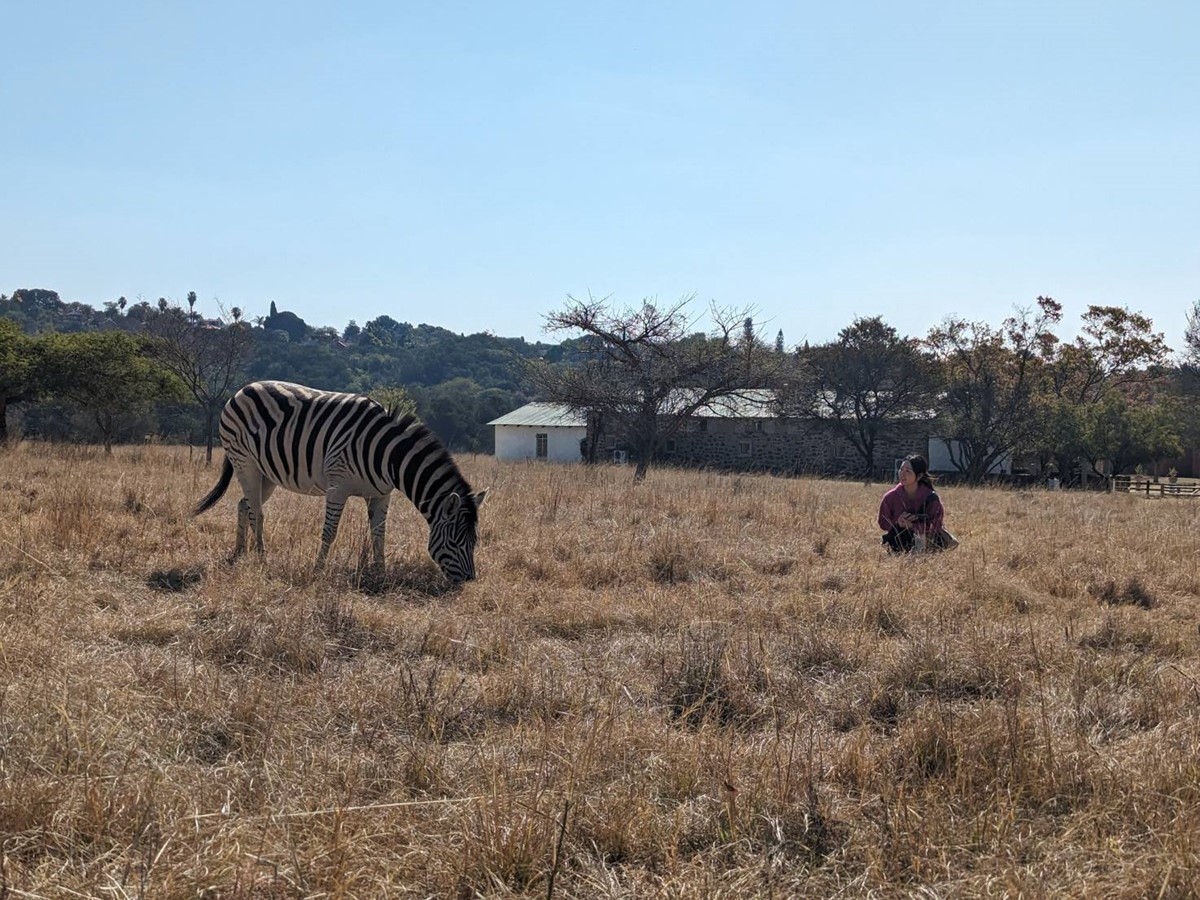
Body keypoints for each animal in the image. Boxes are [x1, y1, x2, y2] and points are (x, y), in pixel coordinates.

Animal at [194, 381, 484, 585]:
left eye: (474, 541)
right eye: (456, 542)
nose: (469, 582)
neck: (388, 456)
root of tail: (243, 389)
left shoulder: (382, 494)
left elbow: (379, 534)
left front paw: (381, 574)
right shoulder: (337, 487)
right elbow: (330, 532)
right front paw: (318, 570)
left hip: (267, 473)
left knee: (244, 505)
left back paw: (240, 552)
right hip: (245, 462)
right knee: (257, 512)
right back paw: (261, 558)